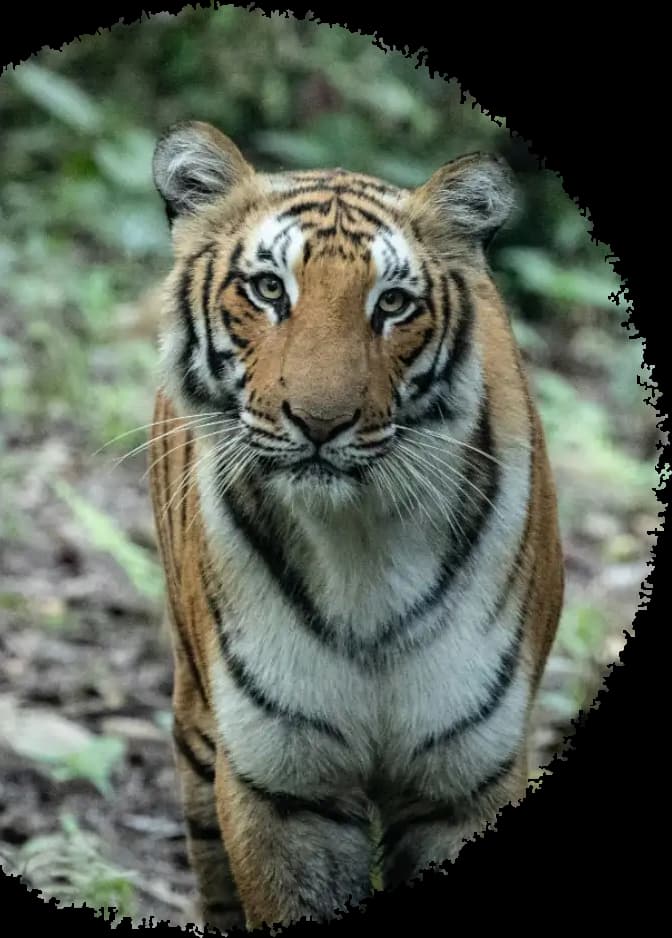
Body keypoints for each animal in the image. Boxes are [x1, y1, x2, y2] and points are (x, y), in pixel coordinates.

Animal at [147, 120, 564, 932]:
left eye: (393, 303)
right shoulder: (284, 785)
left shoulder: (465, 779)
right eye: (269, 289)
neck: (360, 543)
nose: (319, 422)